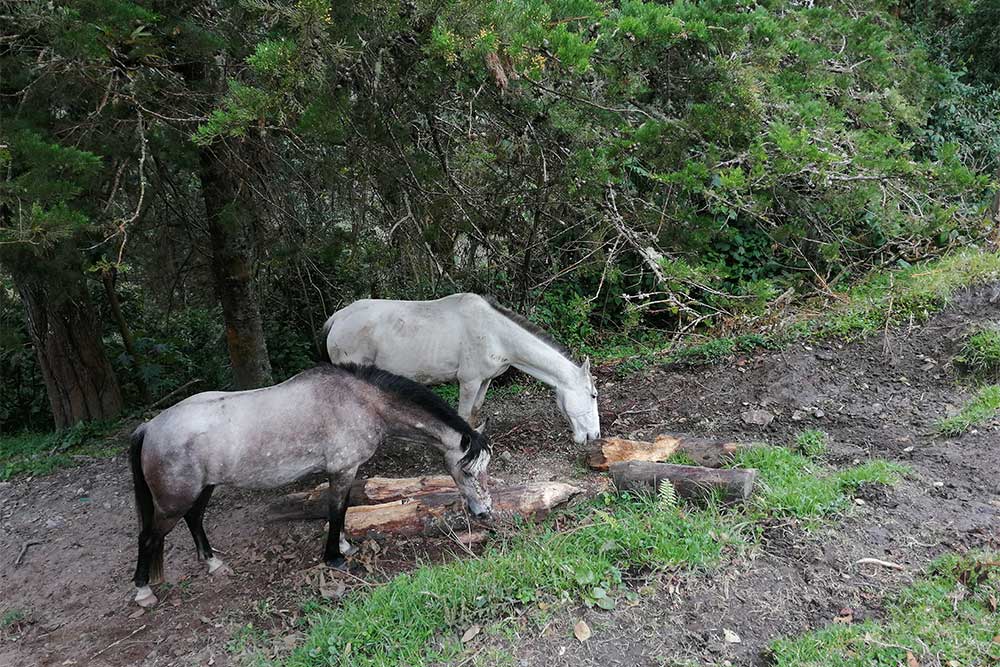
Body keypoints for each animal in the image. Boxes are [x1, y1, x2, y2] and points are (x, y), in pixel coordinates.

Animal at [127, 362, 494, 608]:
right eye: (469, 472)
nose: (485, 512)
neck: (362, 402)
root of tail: (150, 427)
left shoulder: (346, 471)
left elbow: (342, 511)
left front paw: (344, 546)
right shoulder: (343, 470)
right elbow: (336, 511)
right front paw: (335, 557)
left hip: (203, 489)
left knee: (195, 519)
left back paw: (213, 564)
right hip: (173, 501)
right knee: (149, 537)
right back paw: (143, 591)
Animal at [320, 292, 600, 444]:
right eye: (593, 395)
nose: (595, 436)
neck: (496, 333)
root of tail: (337, 318)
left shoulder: (484, 382)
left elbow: (475, 412)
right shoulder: (469, 382)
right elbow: (463, 416)